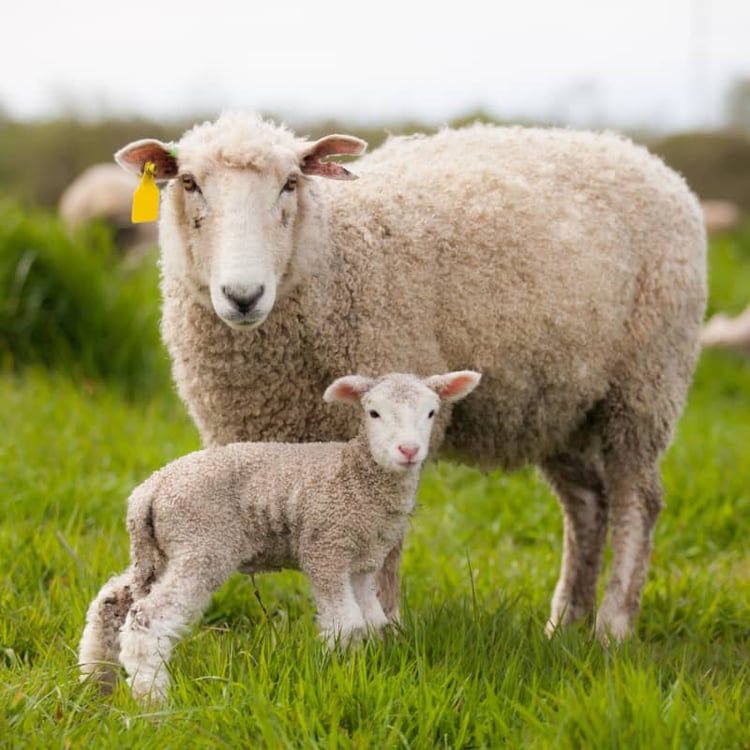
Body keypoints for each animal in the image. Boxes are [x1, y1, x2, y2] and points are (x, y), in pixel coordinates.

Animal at [79, 370, 482, 704]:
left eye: (431, 412)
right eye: (373, 413)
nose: (409, 451)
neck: (357, 475)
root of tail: (149, 491)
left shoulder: (362, 562)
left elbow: (372, 622)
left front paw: (361, 674)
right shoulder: (326, 547)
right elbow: (346, 623)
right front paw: (333, 679)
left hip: (160, 552)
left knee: (111, 601)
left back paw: (96, 683)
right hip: (201, 544)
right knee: (147, 620)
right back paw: (154, 702)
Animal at [114, 114, 708, 644]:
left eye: (291, 182)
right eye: (188, 183)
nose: (243, 296)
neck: (332, 259)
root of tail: (643, 157)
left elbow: (383, 550)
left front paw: (385, 633)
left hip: (645, 382)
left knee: (637, 499)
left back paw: (613, 628)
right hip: (554, 401)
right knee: (586, 502)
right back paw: (565, 624)